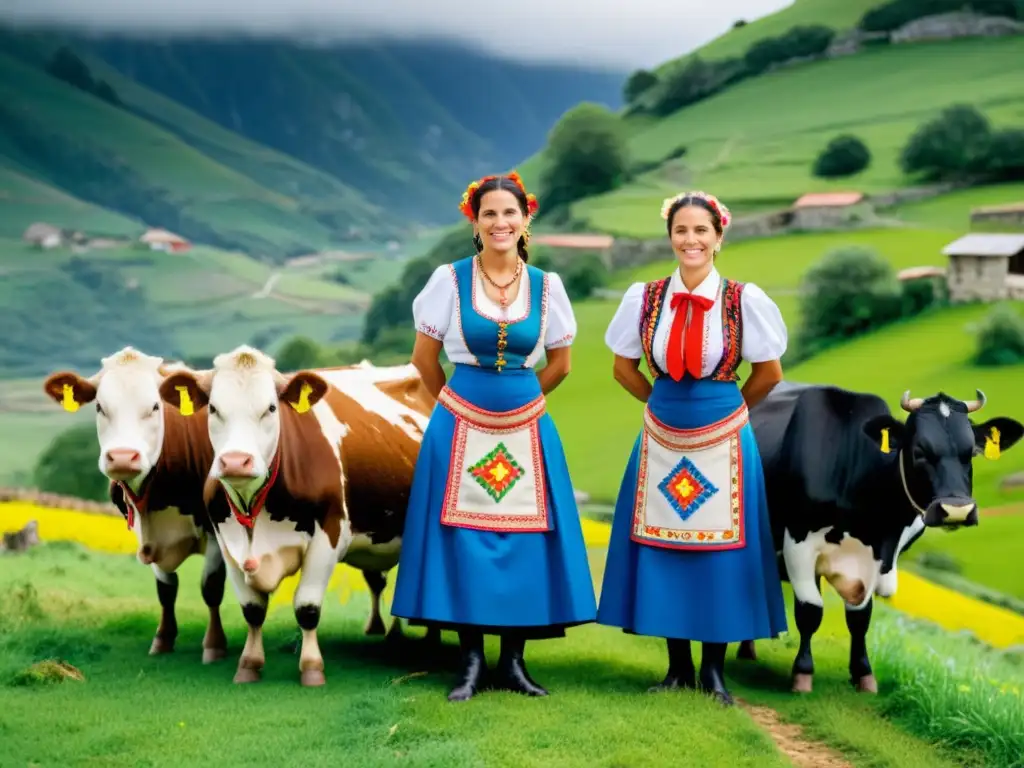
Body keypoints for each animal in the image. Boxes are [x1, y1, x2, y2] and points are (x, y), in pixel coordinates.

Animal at [43, 352, 226, 663]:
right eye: (100, 407)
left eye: (155, 406)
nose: (122, 457)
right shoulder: (146, 533)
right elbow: (166, 589)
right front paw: (163, 638)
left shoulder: (216, 530)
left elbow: (211, 587)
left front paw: (214, 645)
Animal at [159, 346, 436, 688]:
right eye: (213, 408)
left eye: (271, 408)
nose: (236, 461)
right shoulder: (227, 542)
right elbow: (252, 609)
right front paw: (249, 665)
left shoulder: (328, 536)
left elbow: (307, 607)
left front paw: (312, 668)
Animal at [741, 382, 1019, 696]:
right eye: (919, 450)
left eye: (970, 451)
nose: (957, 510)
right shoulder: (798, 543)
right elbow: (810, 611)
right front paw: (802, 673)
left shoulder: (877, 556)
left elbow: (860, 618)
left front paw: (863, 673)